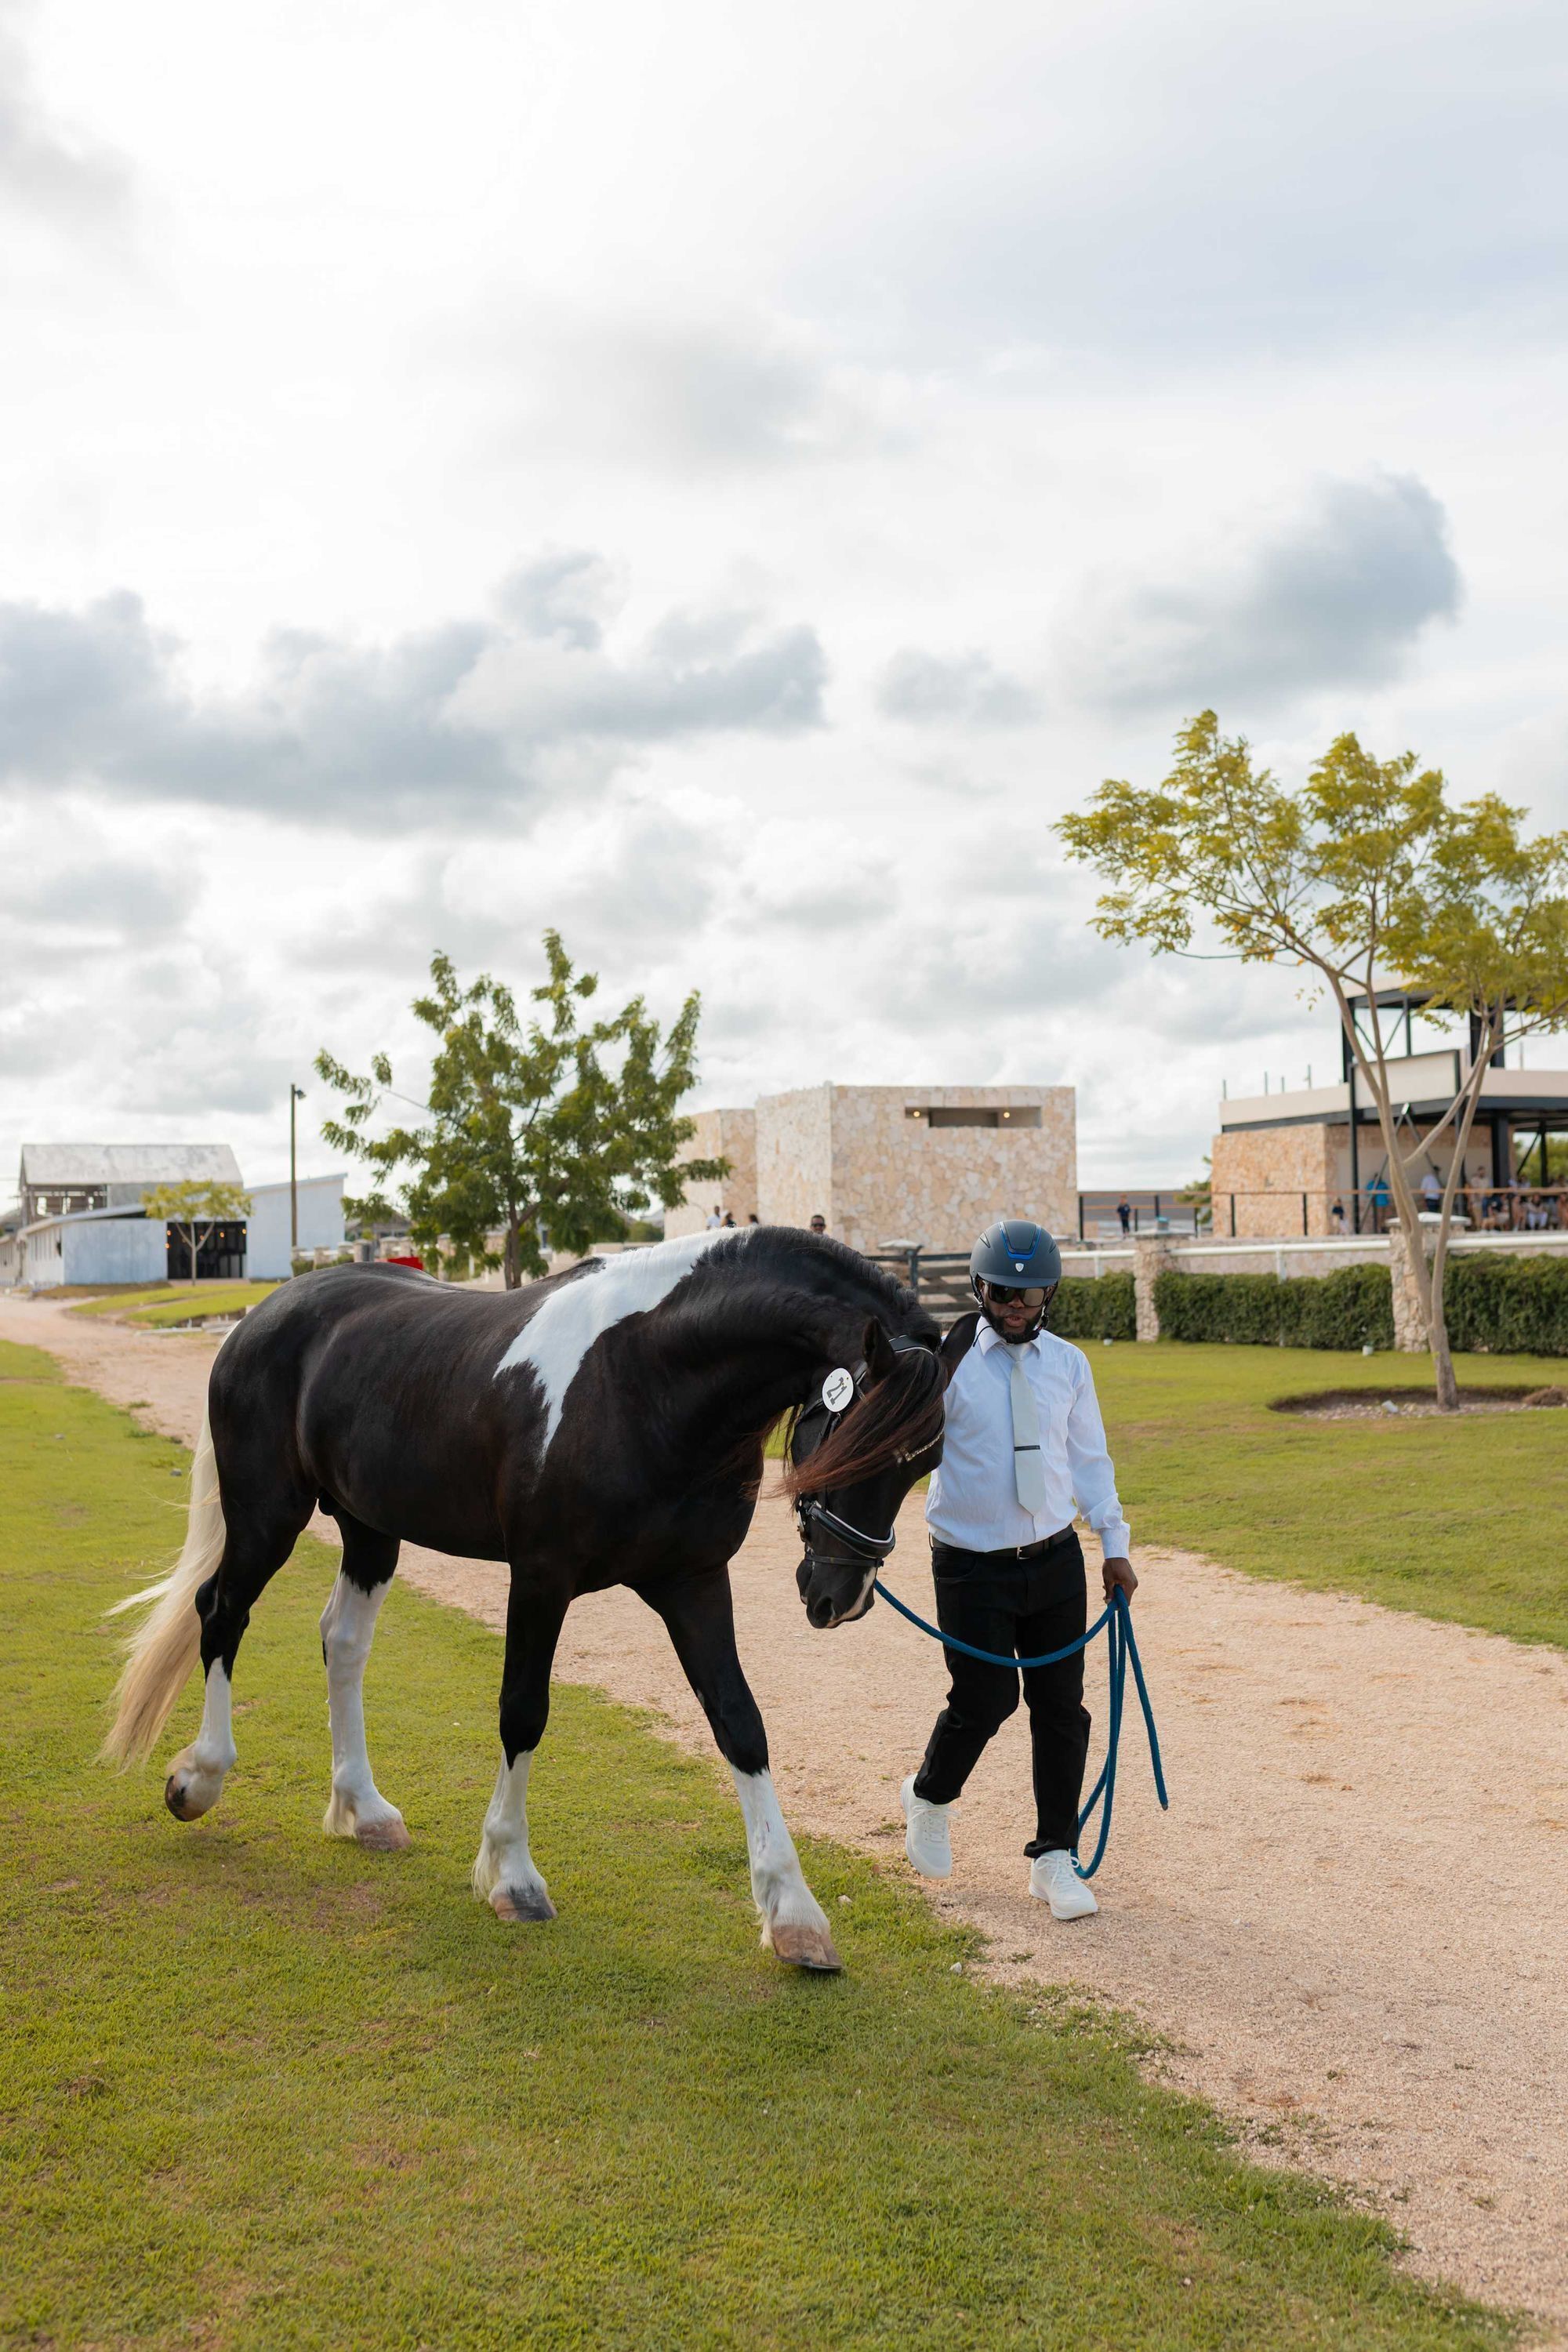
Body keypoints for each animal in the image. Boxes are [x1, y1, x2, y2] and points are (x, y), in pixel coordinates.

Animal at [102, 1227, 946, 1973]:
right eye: (855, 1439)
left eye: (922, 1463)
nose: (841, 1595)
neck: (643, 1376)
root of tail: (264, 1315)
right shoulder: (541, 1577)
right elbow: (523, 1711)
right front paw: (511, 1877)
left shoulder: (695, 1582)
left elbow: (740, 1724)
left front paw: (795, 1917)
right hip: (267, 1514)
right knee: (221, 1612)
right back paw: (200, 1778)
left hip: (371, 1530)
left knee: (341, 1642)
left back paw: (364, 1810)